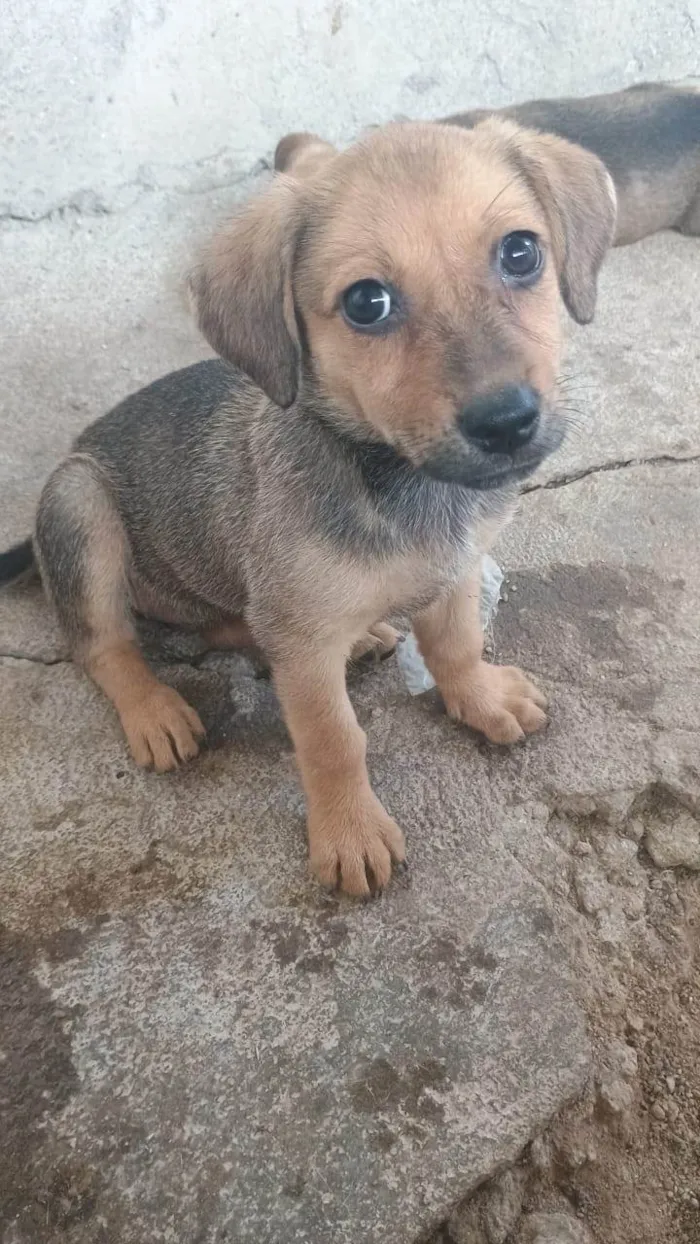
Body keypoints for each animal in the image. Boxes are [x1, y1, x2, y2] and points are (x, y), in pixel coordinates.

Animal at [4, 116, 619, 895]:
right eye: (366, 302)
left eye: (521, 252)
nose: (506, 422)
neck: (400, 480)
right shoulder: (303, 639)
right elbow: (333, 738)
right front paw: (349, 832)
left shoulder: (450, 574)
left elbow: (455, 647)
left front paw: (479, 698)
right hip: (78, 504)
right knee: (104, 644)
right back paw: (152, 709)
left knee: (228, 623)